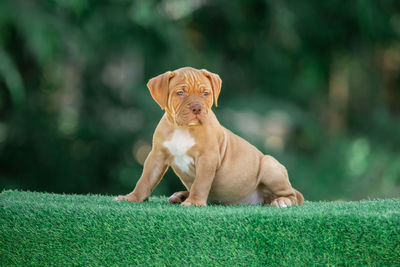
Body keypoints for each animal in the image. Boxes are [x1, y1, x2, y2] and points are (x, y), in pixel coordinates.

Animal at [115, 67, 304, 207]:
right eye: (180, 93)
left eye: (205, 94)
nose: (197, 108)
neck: (183, 129)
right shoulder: (156, 156)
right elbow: (145, 180)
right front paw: (132, 197)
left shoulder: (207, 158)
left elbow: (201, 183)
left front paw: (194, 202)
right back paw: (181, 195)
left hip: (269, 164)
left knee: (292, 195)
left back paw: (282, 201)